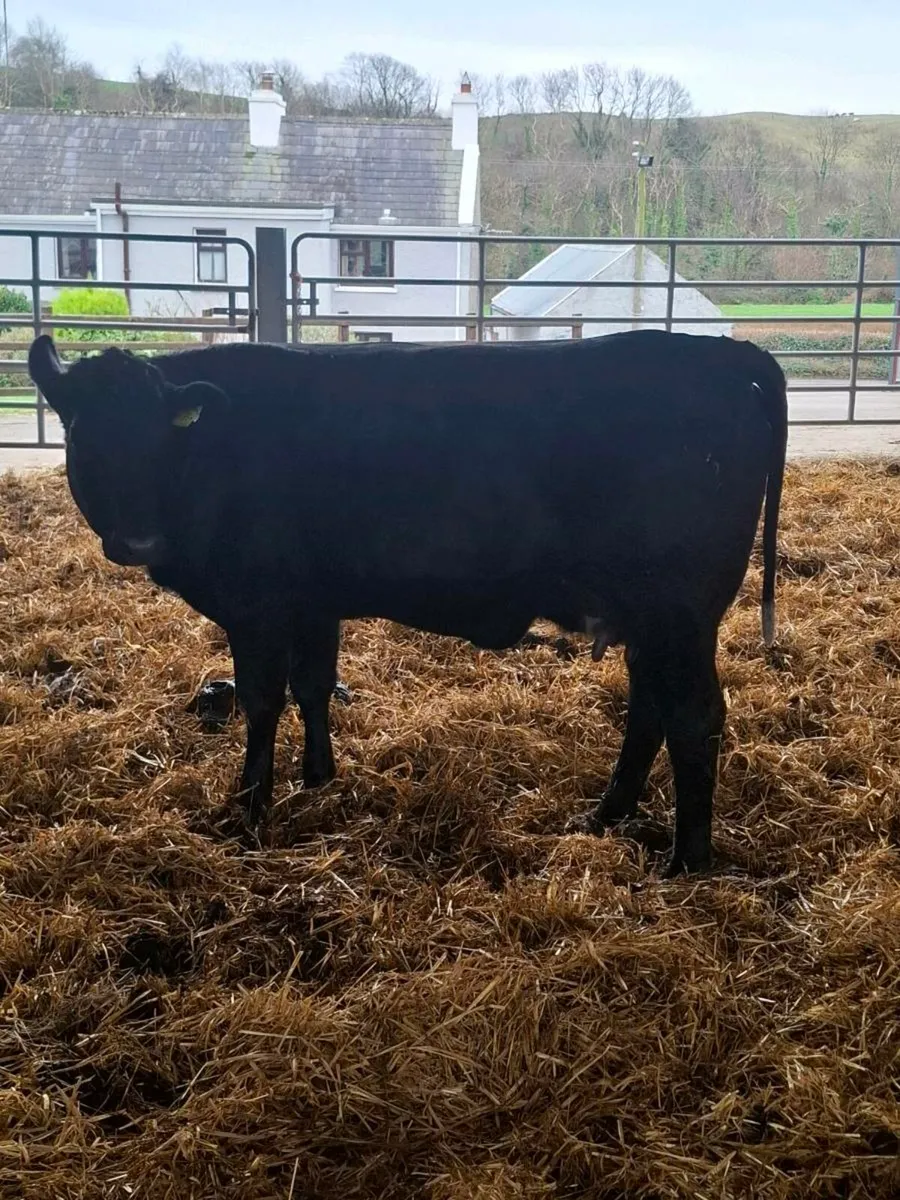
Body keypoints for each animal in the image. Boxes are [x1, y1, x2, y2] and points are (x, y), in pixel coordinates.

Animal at [28, 329, 787, 876]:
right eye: (81, 434)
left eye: (160, 436)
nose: (137, 539)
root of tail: (725, 352)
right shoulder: (313, 601)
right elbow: (314, 685)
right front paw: (318, 779)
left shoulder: (258, 606)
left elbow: (262, 700)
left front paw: (249, 806)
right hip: (650, 619)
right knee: (649, 707)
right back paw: (605, 816)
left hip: (680, 612)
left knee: (693, 718)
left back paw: (685, 863)